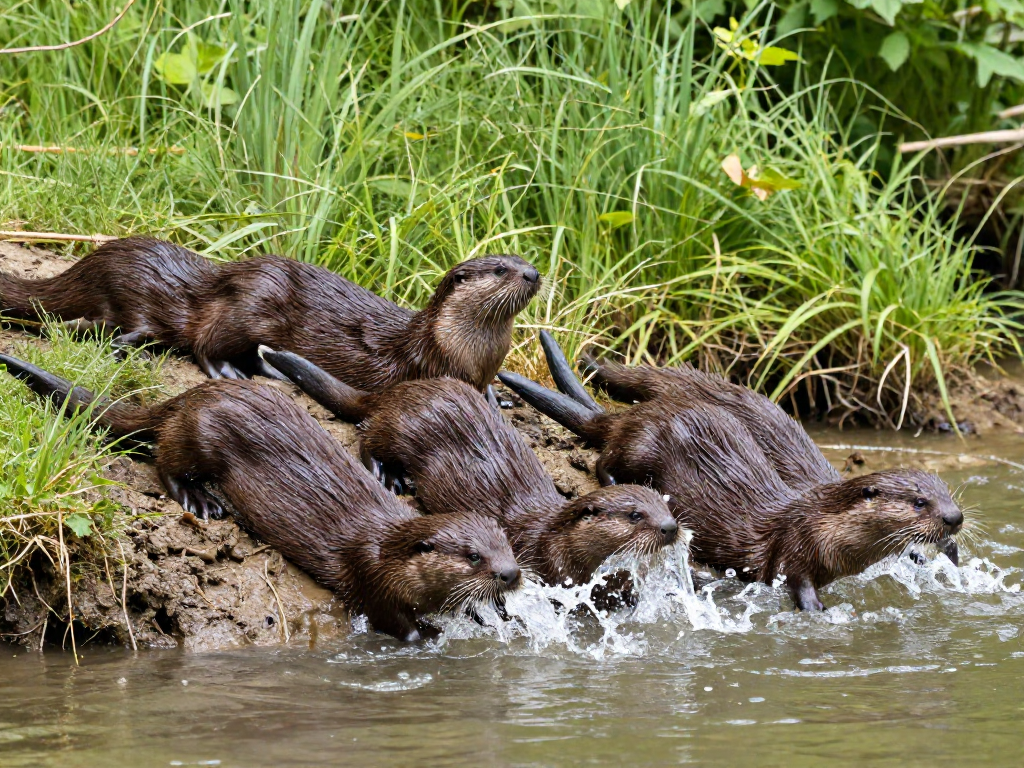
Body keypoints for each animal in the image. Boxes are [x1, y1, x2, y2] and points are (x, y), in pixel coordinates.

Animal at [0, 237, 540, 397]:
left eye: (525, 259)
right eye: (500, 268)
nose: (533, 273)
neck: (475, 353)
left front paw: (500, 399)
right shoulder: (431, 363)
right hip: (254, 305)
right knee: (202, 340)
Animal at [0, 354, 521, 642]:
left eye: (507, 548)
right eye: (473, 556)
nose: (511, 575)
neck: (390, 552)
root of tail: (191, 394)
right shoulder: (371, 578)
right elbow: (393, 622)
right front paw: (429, 634)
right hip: (199, 436)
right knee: (162, 459)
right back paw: (198, 500)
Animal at [258, 347, 679, 590]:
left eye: (666, 506)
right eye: (635, 514)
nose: (670, 528)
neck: (549, 539)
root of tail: (397, 390)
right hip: (399, 428)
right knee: (368, 437)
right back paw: (387, 474)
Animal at [497, 335, 964, 611]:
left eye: (949, 496)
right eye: (920, 502)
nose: (954, 518)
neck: (830, 530)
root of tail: (627, 417)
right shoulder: (795, 549)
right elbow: (797, 585)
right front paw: (821, 614)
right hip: (643, 444)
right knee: (605, 461)